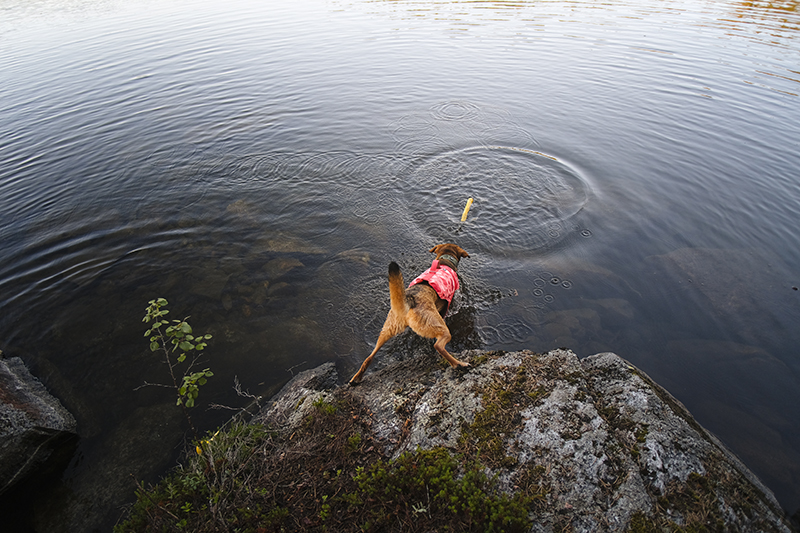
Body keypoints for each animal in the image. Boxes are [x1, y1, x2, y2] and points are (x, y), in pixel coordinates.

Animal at [348, 243, 472, 384]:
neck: (445, 259)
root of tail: (409, 301)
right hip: (439, 327)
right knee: (438, 346)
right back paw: (459, 364)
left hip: (388, 329)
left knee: (369, 357)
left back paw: (357, 378)